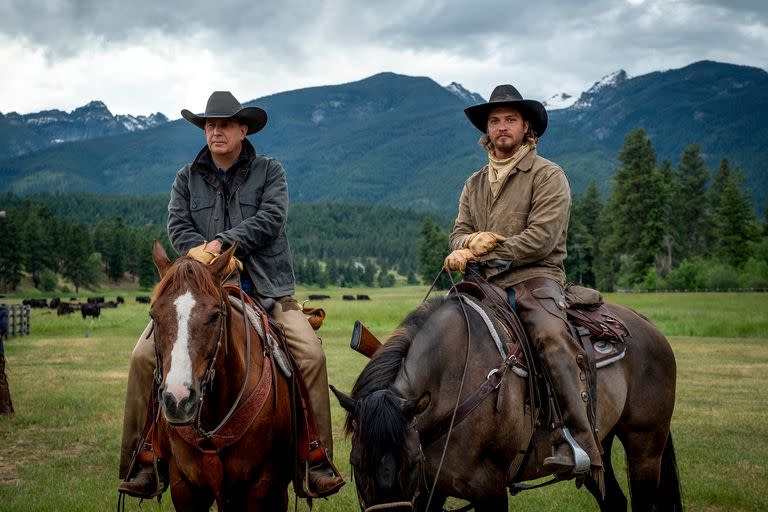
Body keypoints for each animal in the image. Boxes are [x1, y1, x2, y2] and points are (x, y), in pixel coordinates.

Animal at [332, 294, 680, 510]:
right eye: (355, 463)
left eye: (412, 462)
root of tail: (647, 325)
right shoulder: (431, 490)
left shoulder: (489, 488)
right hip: (599, 447)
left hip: (645, 446)